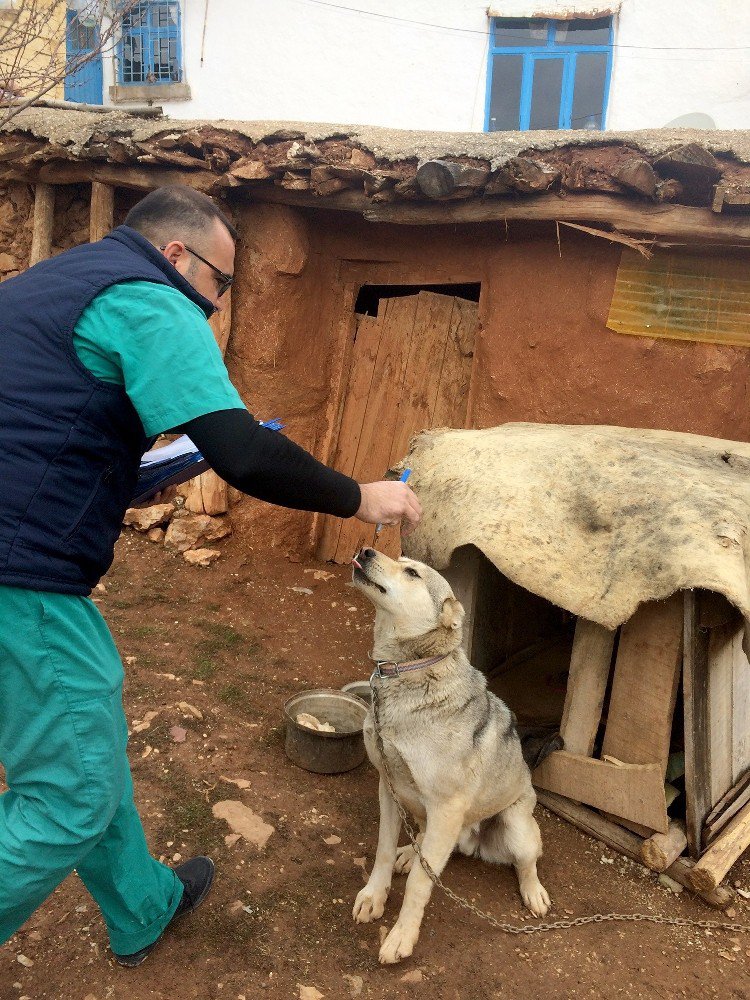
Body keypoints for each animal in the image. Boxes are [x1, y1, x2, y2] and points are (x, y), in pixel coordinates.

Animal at [350, 552, 548, 964]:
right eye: (400, 559)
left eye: (411, 572)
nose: (365, 551)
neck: (406, 673)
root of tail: (470, 837)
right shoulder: (389, 787)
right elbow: (382, 851)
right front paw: (374, 896)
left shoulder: (448, 806)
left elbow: (419, 884)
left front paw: (401, 936)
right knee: (426, 844)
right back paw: (410, 853)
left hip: (516, 826)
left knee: (527, 862)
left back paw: (534, 892)